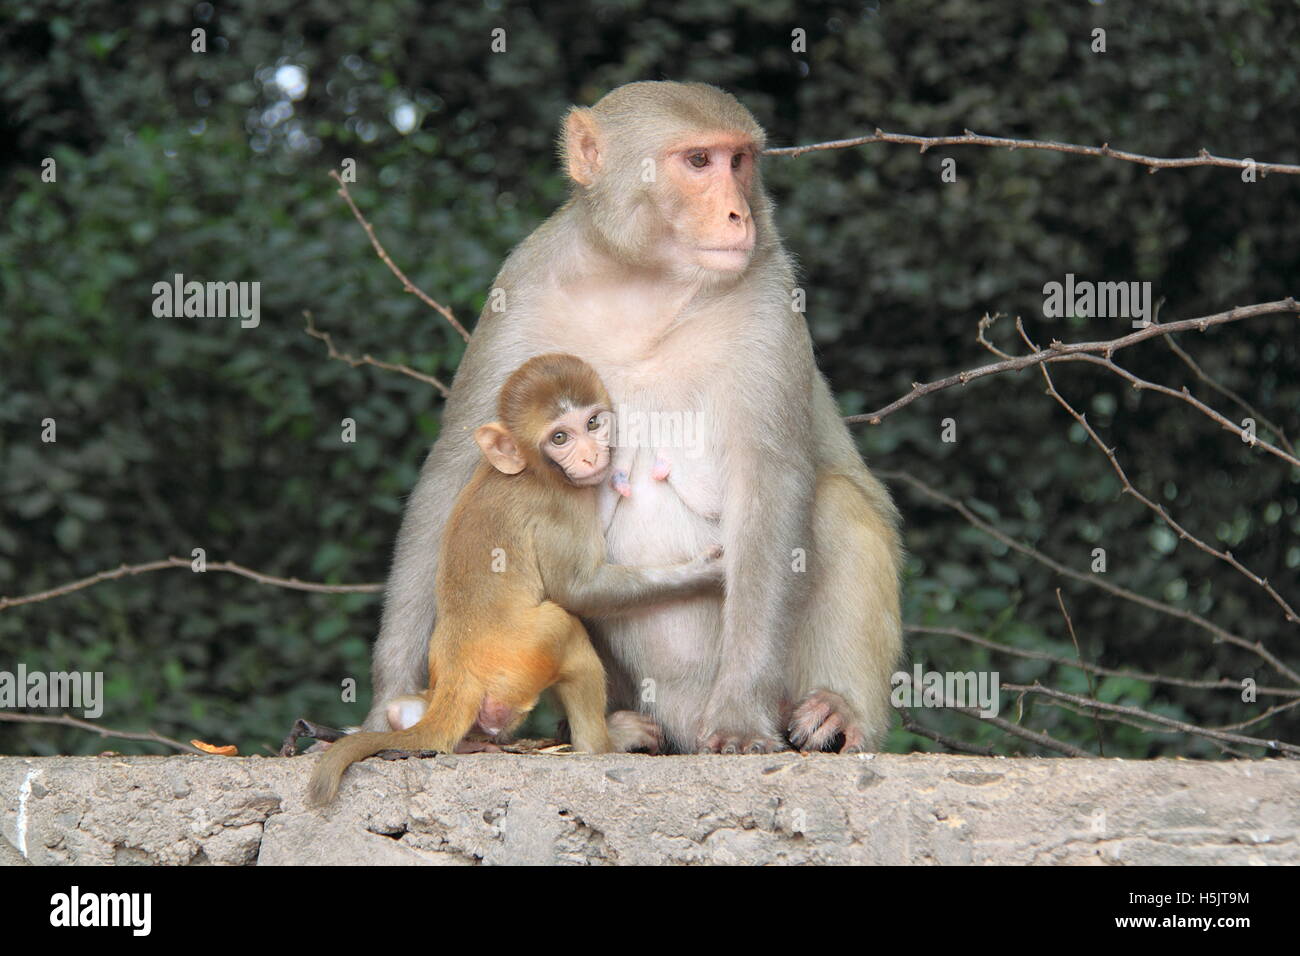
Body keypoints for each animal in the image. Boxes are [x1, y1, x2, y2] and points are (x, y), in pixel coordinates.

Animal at [310, 356, 728, 806]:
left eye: (593, 422)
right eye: (560, 437)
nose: (590, 456)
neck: (532, 470)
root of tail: (458, 675)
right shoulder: (561, 508)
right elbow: (578, 592)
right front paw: (702, 573)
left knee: (403, 711)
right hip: (524, 660)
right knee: (564, 626)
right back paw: (607, 741)